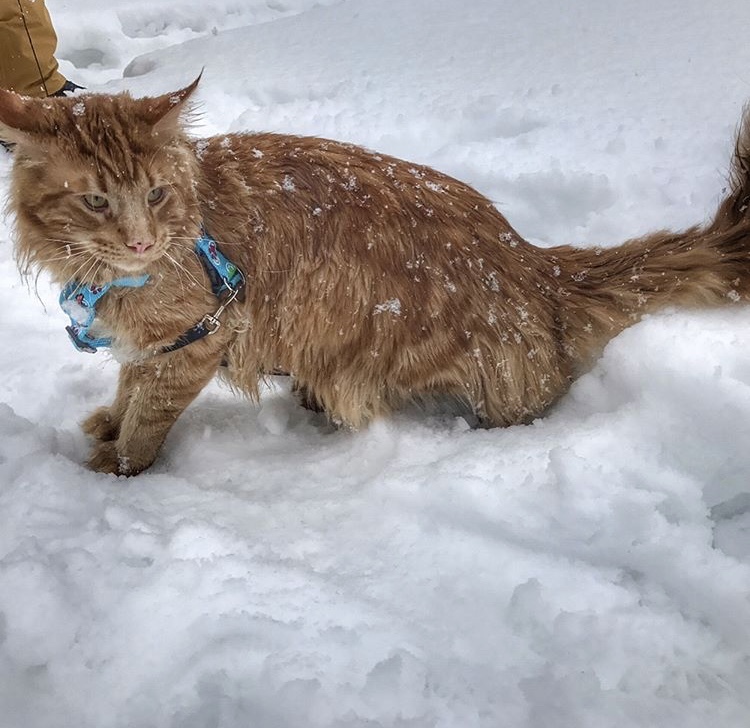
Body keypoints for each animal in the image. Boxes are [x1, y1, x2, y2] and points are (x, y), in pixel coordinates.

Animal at [1, 81, 750, 478]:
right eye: (96, 201)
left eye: (155, 194)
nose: (141, 240)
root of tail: (533, 259)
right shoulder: (154, 342)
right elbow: (129, 384)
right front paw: (106, 424)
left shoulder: (198, 337)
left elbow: (148, 416)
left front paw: (118, 470)